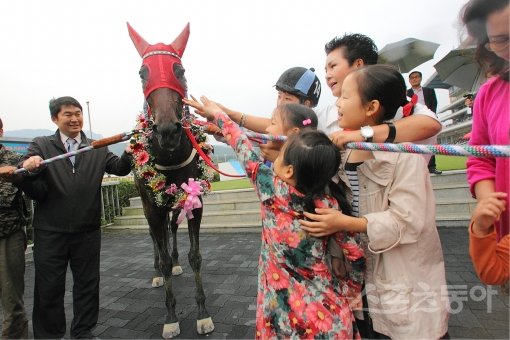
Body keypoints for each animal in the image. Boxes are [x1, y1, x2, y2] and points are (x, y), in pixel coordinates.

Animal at [128, 22, 216, 338]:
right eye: (142, 73)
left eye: (180, 69)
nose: (167, 130)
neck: (169, 155)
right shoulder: (152, 206)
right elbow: (161, 250)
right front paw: (171, 317)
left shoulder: (195, 199)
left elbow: (195, 255)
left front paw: (202, 314)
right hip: (149, 203)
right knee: (156, 237)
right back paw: (157, 270)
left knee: (171, 229)